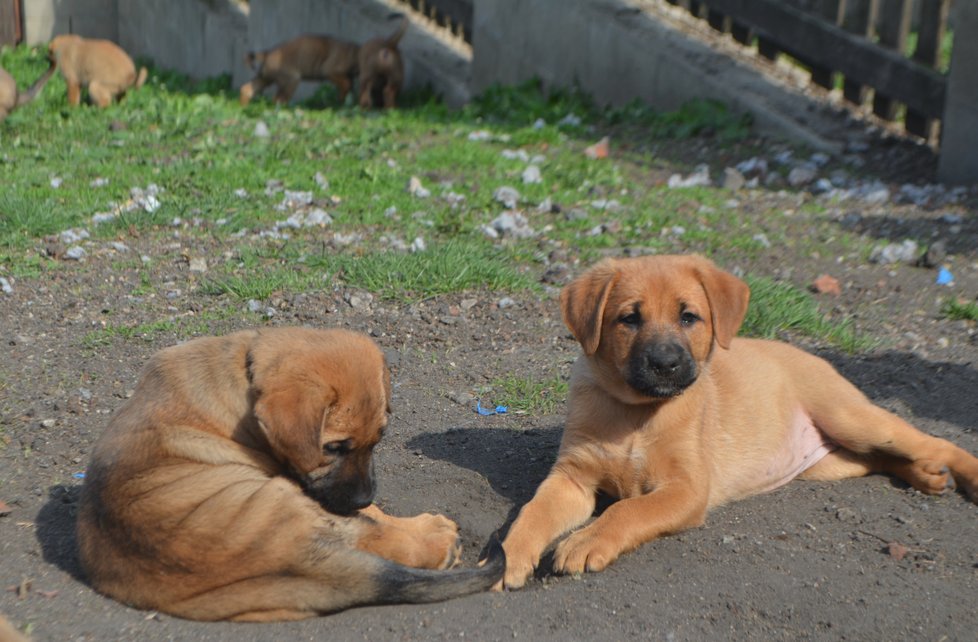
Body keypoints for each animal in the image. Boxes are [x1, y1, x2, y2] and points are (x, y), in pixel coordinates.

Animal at [76, 328, 504, 616]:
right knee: (370, 534)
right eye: (334, 448)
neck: (241, 375)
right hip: (283, 496)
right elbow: (373, 517)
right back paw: (437, 538)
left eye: (378, 440)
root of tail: (300, 560)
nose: (363, 494)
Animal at [496, 252, 976, 588]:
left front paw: (586, 540)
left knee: (932, 442)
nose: (665, 364)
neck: (637, 413)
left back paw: (956, 472)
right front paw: (506, 555)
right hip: (831, 461)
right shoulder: (571, 479)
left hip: (851, 418)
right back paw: (929, 476)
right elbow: (534, 512)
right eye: (628, 318)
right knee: (878, 459)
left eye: (688, 317)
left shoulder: (688, 488)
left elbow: (628, 509)